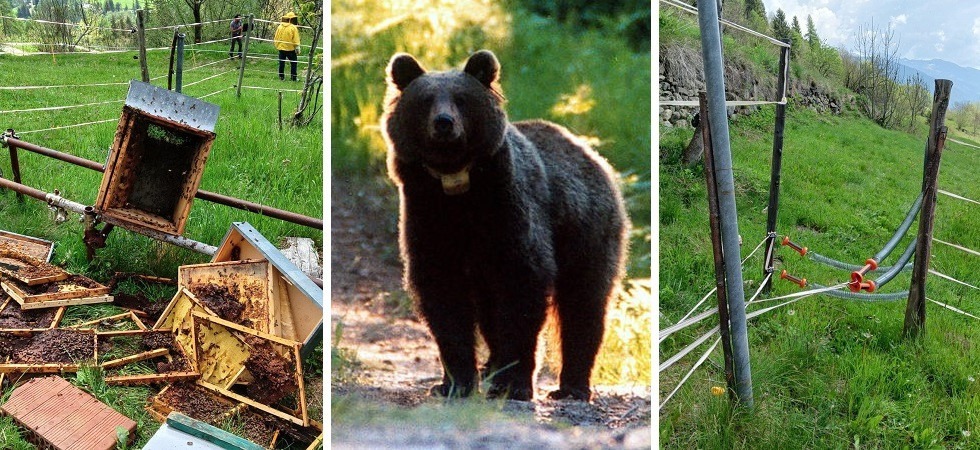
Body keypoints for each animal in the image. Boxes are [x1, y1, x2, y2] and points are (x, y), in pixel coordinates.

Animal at [381, 49, 629, 401]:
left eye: (461, 99)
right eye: (426, 100)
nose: (444, 123)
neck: (457, 186)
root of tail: (592, 154)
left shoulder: (508, 211)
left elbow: (523, 288)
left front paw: (513, 384)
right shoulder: (428, 215)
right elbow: (443, 296)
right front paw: (454, 382)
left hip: (587, 231)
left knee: (584, 303)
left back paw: (572, 386)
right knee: (489, 312)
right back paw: (490, 367)